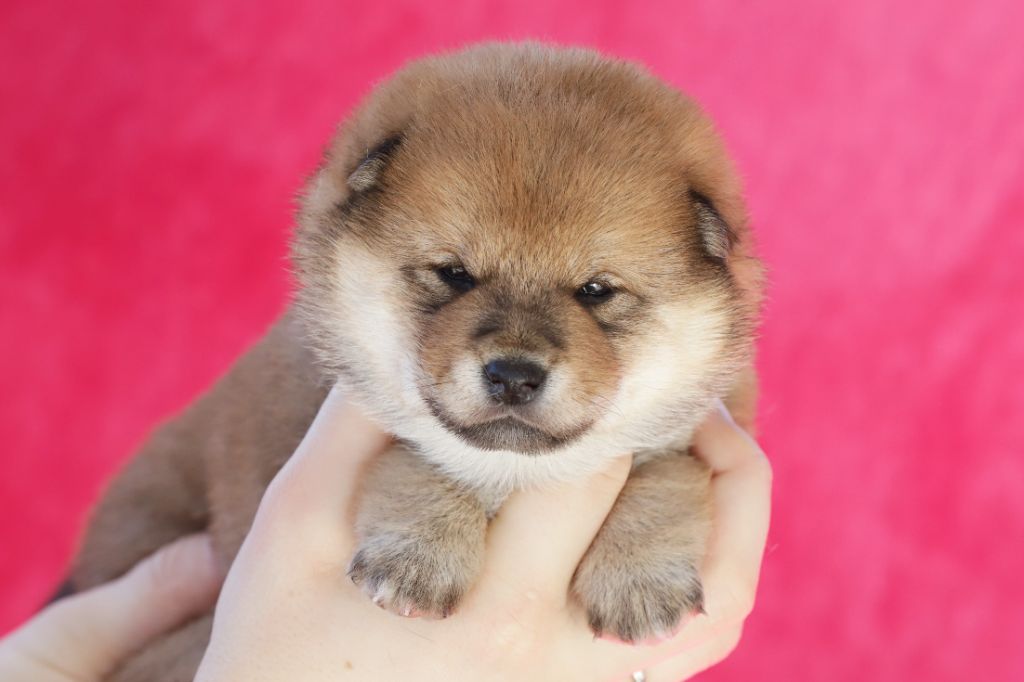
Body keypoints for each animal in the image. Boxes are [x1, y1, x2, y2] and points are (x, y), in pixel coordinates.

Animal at [70, 42, 763, 681]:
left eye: (595, 291)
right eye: (453, 274)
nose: (514, 375)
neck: (511, 474)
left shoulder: (704, 423)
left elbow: (668, 473)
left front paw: (641, 577)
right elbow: (413, 455)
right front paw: (417, 555)